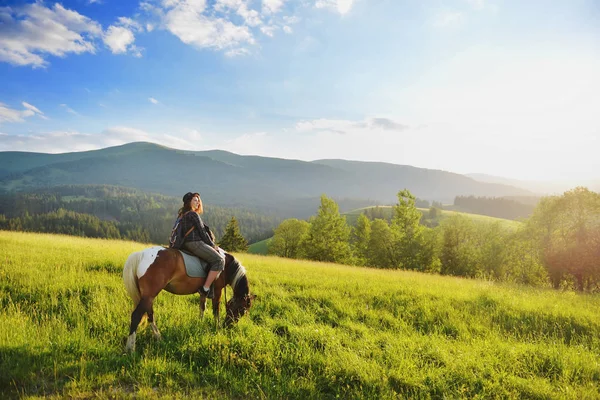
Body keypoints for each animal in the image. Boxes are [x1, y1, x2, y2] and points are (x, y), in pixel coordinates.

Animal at [122, 245, 253, 352]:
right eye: (242, 310)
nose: (228, 326)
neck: (226, 265)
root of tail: (141, 254)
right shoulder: (218, 290)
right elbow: (216, 310)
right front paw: (217, 327)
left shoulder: (203, 293)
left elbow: (202, 308)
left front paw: (200, 323)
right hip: (149, 296)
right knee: (136, 316)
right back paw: (131, 348)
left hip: (148, 296)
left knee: (150, 315)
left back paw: (158, 337)